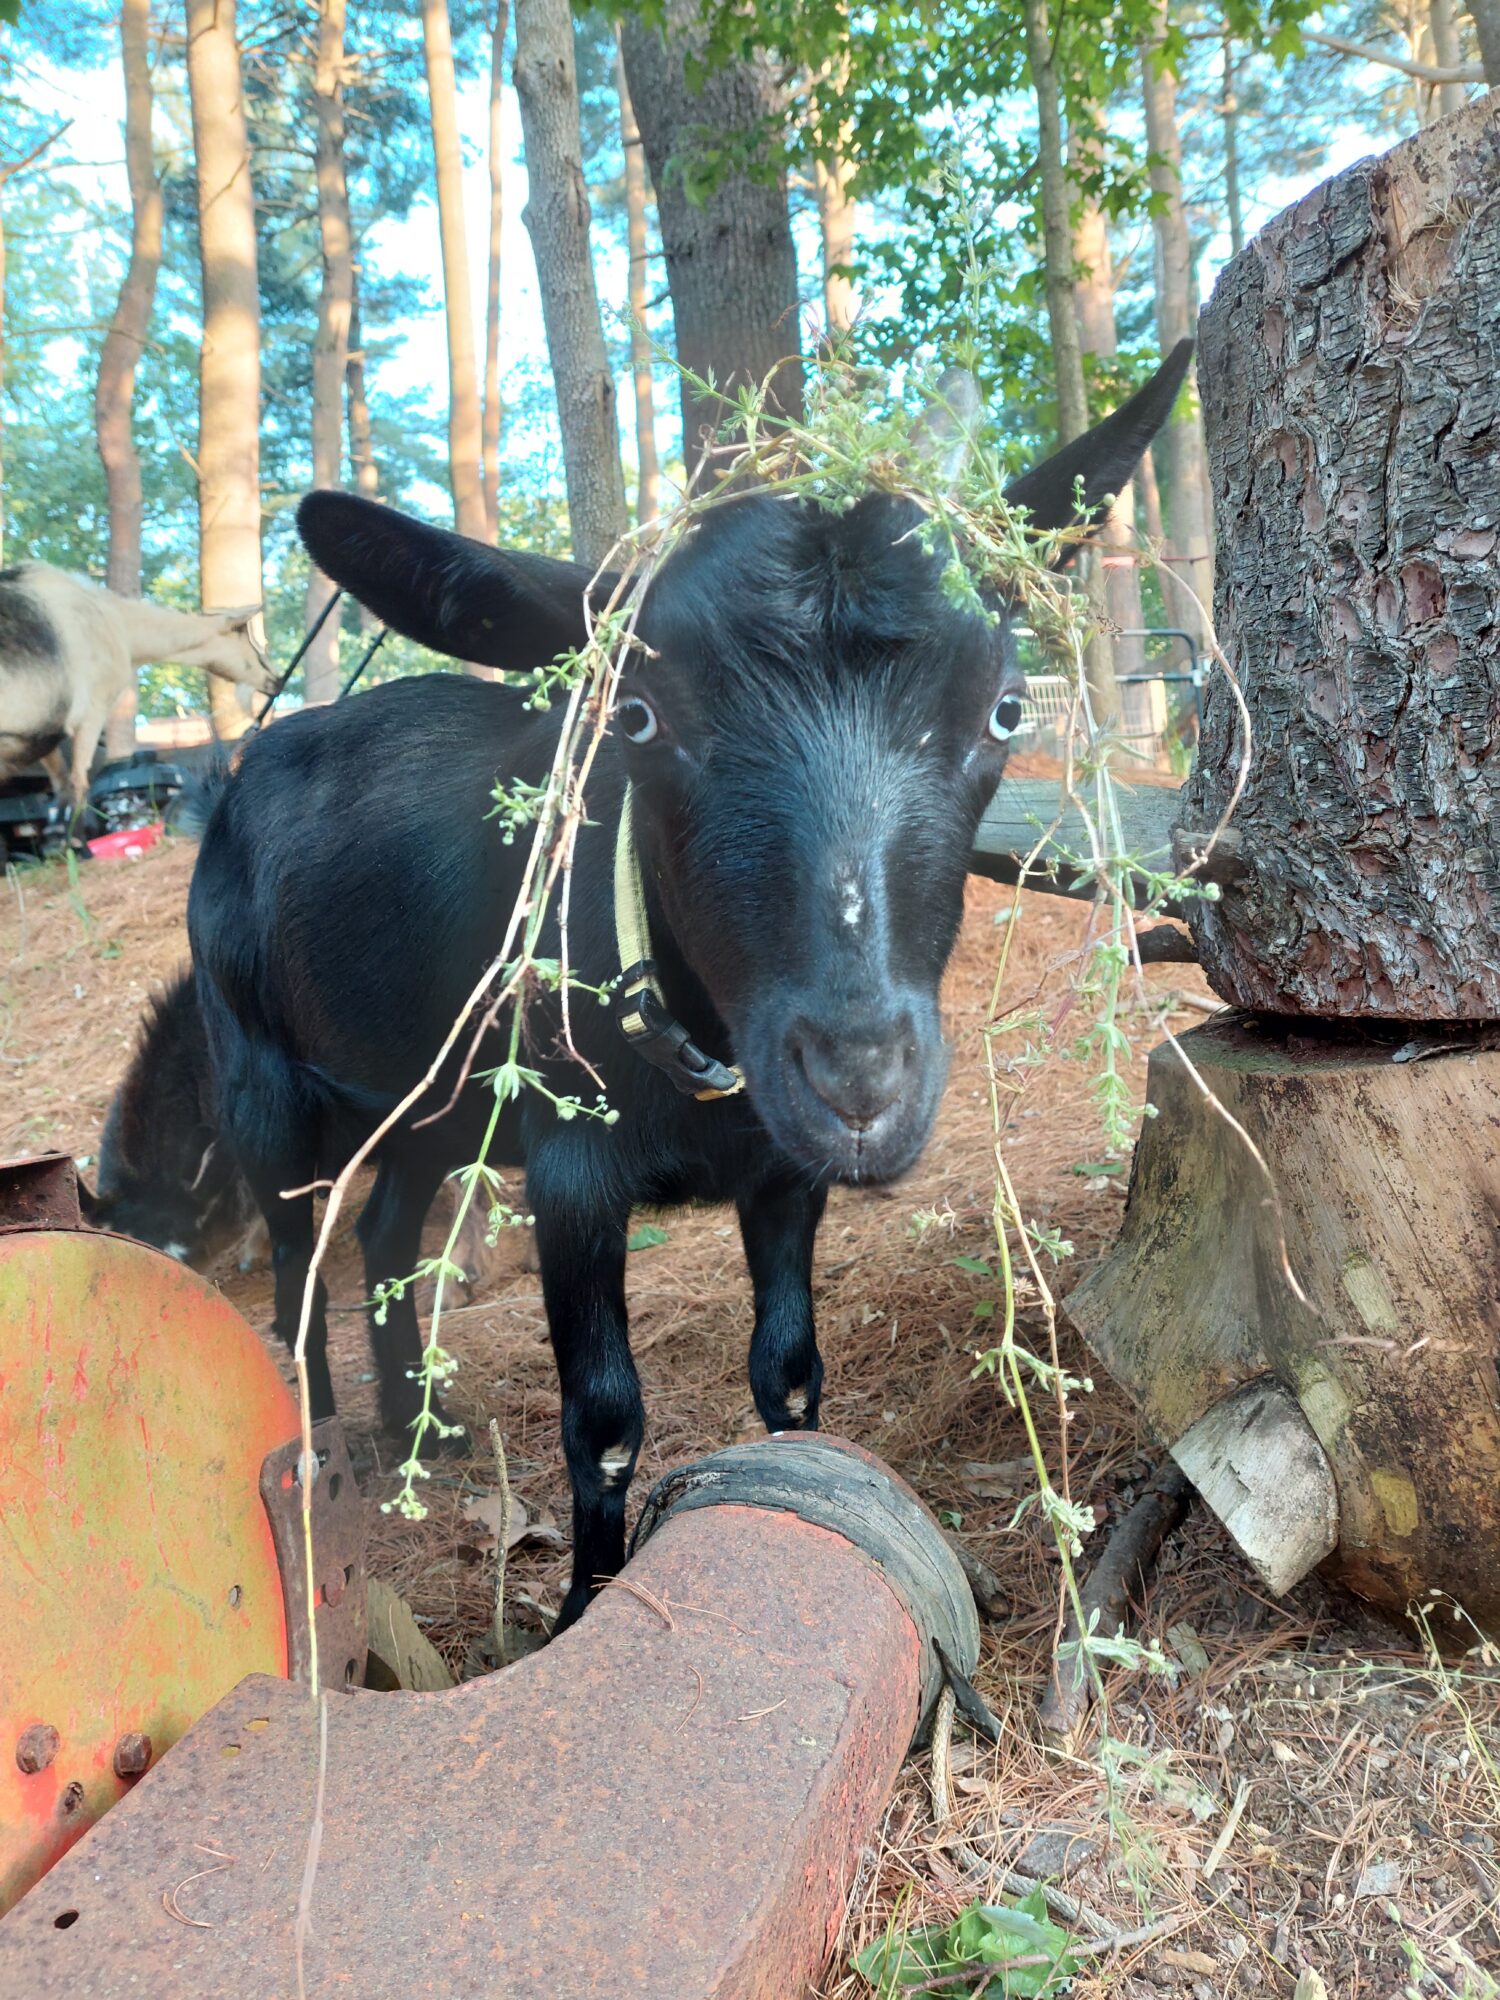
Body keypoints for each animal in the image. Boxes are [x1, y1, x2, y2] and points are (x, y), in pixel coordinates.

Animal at [0, 565, 276, 808]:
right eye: (250, 643)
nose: (275, 679)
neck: (122, 625)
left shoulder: (43, 736)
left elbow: (62, 787)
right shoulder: (92, 711)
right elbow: (78, 787)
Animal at [189, 348, 1190, 1630]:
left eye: (1006, 707)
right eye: (636, 711)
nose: (860, 1082)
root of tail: (239, 770)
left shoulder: (780, 1171)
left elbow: (792, 1371)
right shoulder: (571, 1168)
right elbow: (604, 1416)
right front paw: (581, 1604)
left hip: (434, 1099)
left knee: (384, 1224)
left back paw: (434, 1428)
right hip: (255, 1068)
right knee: (292, 1255)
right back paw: (321, 1457)